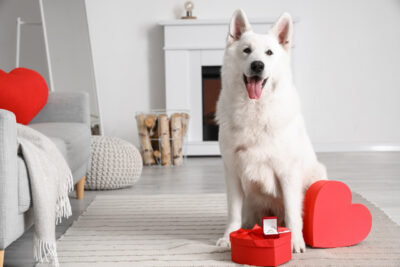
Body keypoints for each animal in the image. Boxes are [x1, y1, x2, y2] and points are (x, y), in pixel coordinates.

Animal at [214, 9, 326, 253]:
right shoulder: (232, 173)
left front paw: (294, 242)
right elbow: (233, 213)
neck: (255, 110)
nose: (258, 65)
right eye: (246, 50)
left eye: (269, 53)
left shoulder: (287, 173)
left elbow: (293, 213)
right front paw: (229, 238)